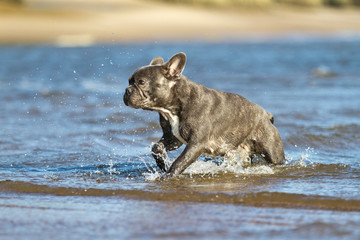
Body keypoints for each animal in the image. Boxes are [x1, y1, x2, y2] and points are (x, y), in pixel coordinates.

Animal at [124, 53, 284, 178]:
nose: (127, 90)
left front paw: (168, 176)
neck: (172, 108)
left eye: (141, 82)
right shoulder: (173, 138)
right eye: (129, 81)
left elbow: (180, 161)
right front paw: (162, 163)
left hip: (272, 152)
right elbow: (156, 147)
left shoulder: (196, 144)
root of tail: (266, 115)